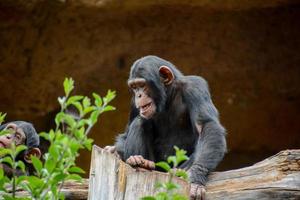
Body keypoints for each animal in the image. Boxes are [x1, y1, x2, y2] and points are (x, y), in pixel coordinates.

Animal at [105, 55, 225, 199]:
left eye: (142, 85)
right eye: (134, 87)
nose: (139, 95)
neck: (168, 96)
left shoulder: (195, 87)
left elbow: (206, 125)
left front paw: (196, 177)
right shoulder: (134, 103)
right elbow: (126, 133)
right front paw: (114, 150)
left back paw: (178, 170)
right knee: (139, 122)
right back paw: (140, 161)